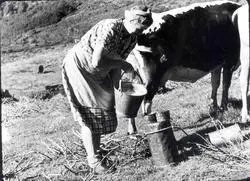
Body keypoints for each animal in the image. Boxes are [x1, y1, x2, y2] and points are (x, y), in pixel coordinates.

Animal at [125, 0, 242, 134]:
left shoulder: (217, 64)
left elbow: (215, 84)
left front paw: (214, 108)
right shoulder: (230, 60)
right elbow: (225, 85)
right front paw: (224, 108)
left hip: (136, 76)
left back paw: (132, 131)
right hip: (152, 76)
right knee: (146, 103)